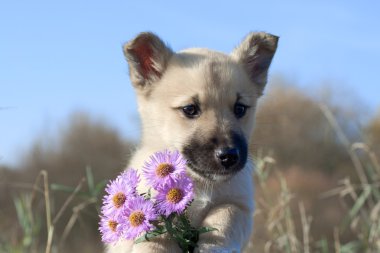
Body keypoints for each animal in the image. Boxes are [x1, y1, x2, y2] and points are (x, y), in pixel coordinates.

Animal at [105, 30, 278, 252]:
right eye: (190, 109)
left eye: (240, 109)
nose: (229, 156)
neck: (198, 183)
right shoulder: (150, 212)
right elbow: (154, 235)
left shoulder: (241, 205)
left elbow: (225, 216)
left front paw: (212, 246)